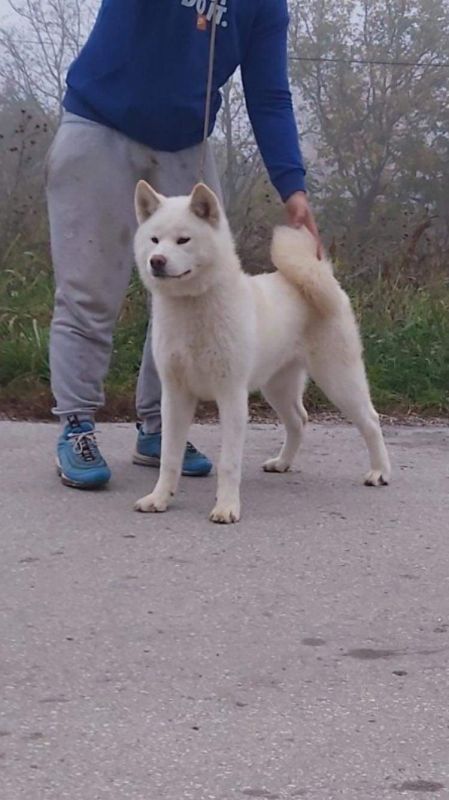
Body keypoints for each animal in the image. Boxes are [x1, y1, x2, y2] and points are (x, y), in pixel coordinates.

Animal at [132, 182, 388, 520]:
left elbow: (229, 463)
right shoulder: (175, 396)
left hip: (339, 380)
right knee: (299, 420)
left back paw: (380, 472)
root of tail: (320, 275)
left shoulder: (231, 395)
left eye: (183, 239)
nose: (157, 261)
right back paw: (283, 463)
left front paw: (227, 507)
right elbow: (169, 458)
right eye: (154, 239)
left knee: (370, 420)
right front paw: (160, 498)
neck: (192, 310)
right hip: (277, 387)